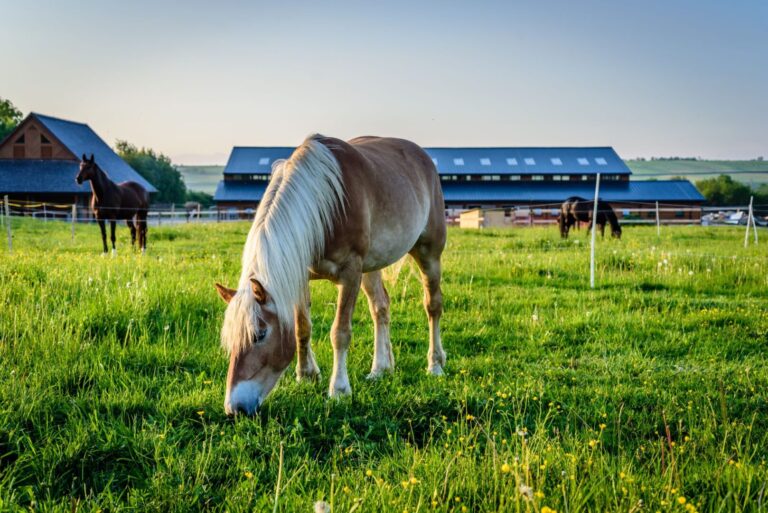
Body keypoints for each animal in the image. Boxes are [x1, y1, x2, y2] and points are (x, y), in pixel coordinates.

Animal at [213, 134, 448, 414]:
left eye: (259, 335)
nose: (234, 408)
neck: (323, 204)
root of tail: (422, 157)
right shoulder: (300, 276)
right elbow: (302, 328)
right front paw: (306, 375)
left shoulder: (350, 273)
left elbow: (340, 332)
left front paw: (339, 389)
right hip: (372, 267)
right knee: (380, 307)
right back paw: (380, 369)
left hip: (428, 254)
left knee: (433, 306)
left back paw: (435, 365)